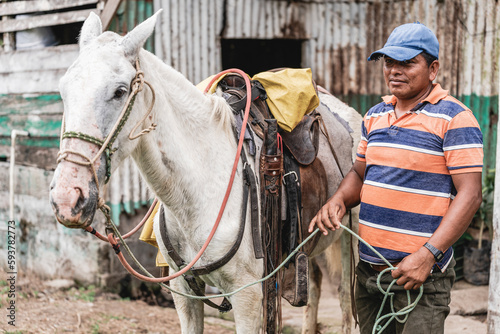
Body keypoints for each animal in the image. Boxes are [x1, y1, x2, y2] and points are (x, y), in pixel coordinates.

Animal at [50, 11, 362, 334]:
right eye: (63, 90)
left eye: (120, 91)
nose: (67, 197)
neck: (200, 188)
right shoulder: (185, 291)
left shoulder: (248, 297)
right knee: (314, 285)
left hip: (351, 243)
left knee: (346, 301)